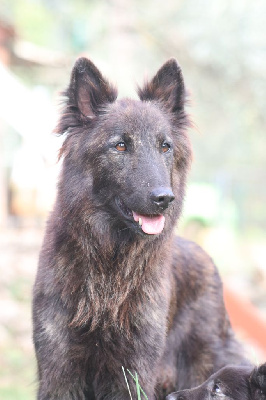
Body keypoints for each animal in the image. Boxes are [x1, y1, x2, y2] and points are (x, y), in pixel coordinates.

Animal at [32, 57, 247, 400]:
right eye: (120, 146)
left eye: (165, 147)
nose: (164, 198)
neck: (110, 264)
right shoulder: (59, 369)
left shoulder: (132, 371)